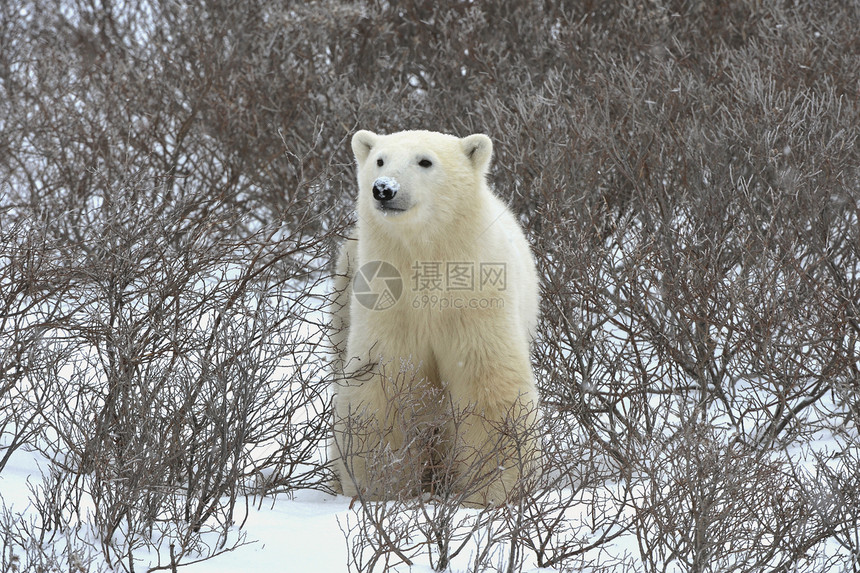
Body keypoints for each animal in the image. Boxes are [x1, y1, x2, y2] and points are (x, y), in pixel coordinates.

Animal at [330, 130, 536, 504]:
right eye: (380, 160)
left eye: (425, 161)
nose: (384, 188)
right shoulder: (387, 304)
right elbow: (380, 385)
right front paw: (380, 488)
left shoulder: (477, 299)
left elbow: (488, 383)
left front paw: (494, 490)